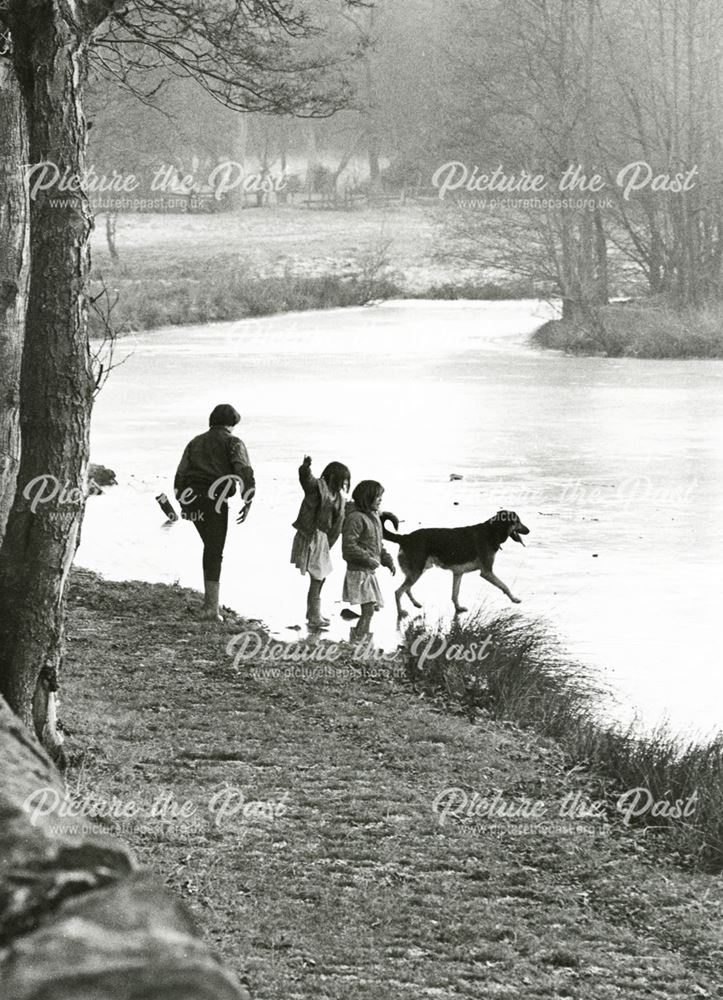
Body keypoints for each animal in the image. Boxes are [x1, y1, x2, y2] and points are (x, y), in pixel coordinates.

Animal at [378, 512, 532, 612]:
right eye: (518, 521)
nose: (529, 530)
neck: (492, 531)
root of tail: (405, 537)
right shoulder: (487, 572)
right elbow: (505, 586)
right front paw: (514, 599)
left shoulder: (458, 573)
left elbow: (455, 594)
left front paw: (458, 608)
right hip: (417, 571)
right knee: (398, 592)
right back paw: (400, 611)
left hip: (416, 571)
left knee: (407, 589)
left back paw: (416, 604)